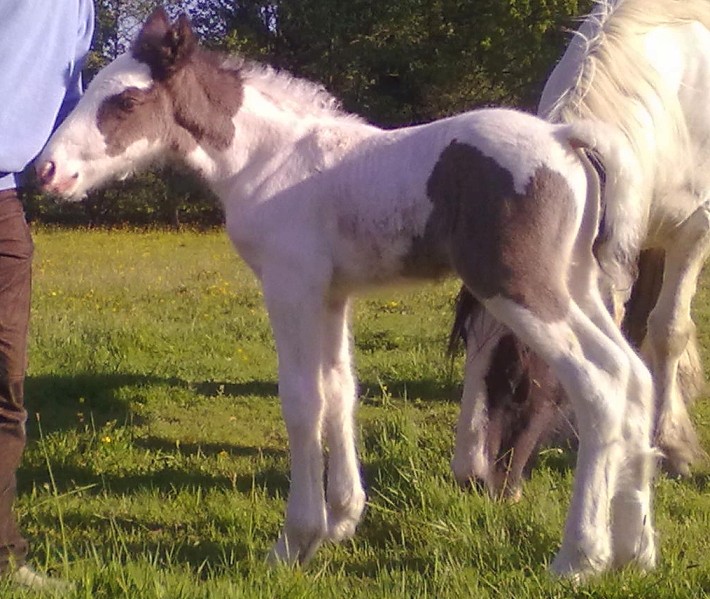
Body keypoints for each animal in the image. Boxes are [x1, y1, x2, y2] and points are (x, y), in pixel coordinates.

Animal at [33, 8, 656, 576]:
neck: (268, 159)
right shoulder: (333, 295)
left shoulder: (291, 286)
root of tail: (562, 137)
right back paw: (636, 550)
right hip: (578, 286)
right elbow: (340, 390)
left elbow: (302, 400)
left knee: (597, 384)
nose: (47, 171)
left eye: (125, 103)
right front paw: (342, 521)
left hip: (518, 289)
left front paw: (295, 541)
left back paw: (580, 556)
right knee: (634, 375)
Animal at [456, 0, 710, 500]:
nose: (469, 479)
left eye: (518, 370)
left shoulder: (695, 227)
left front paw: (673, 447)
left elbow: (669, 330)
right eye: (466, 346)